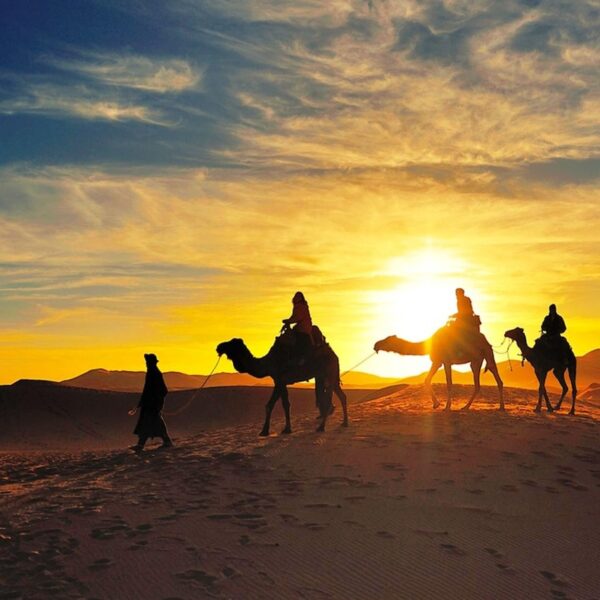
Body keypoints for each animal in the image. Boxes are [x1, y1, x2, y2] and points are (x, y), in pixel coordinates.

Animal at [217, 332, 350, 436]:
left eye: (232, 343)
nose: (218, 347)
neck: (268, 362)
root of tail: (335, 356)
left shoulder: (279, 380)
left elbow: (280, 404)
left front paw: (278, 430)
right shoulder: (280, 381)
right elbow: (276, 404)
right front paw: (271, 430)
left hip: (328, 373)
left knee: (328, 400)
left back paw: (321, 427)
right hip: (330, 376)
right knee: (342, 396)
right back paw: (345, 423)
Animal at [372, 324, 504, 412]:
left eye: (388, 340)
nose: (376, 345)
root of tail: (485, 340)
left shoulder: (446, 361)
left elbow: (449, 383)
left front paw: (447, 407)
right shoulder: (437, 362)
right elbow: (427, 380)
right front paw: (436, 404)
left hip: (488, 353)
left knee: (496, 376)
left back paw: (501, 407)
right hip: (476, 360)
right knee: (478, 384)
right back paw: (466, 407)